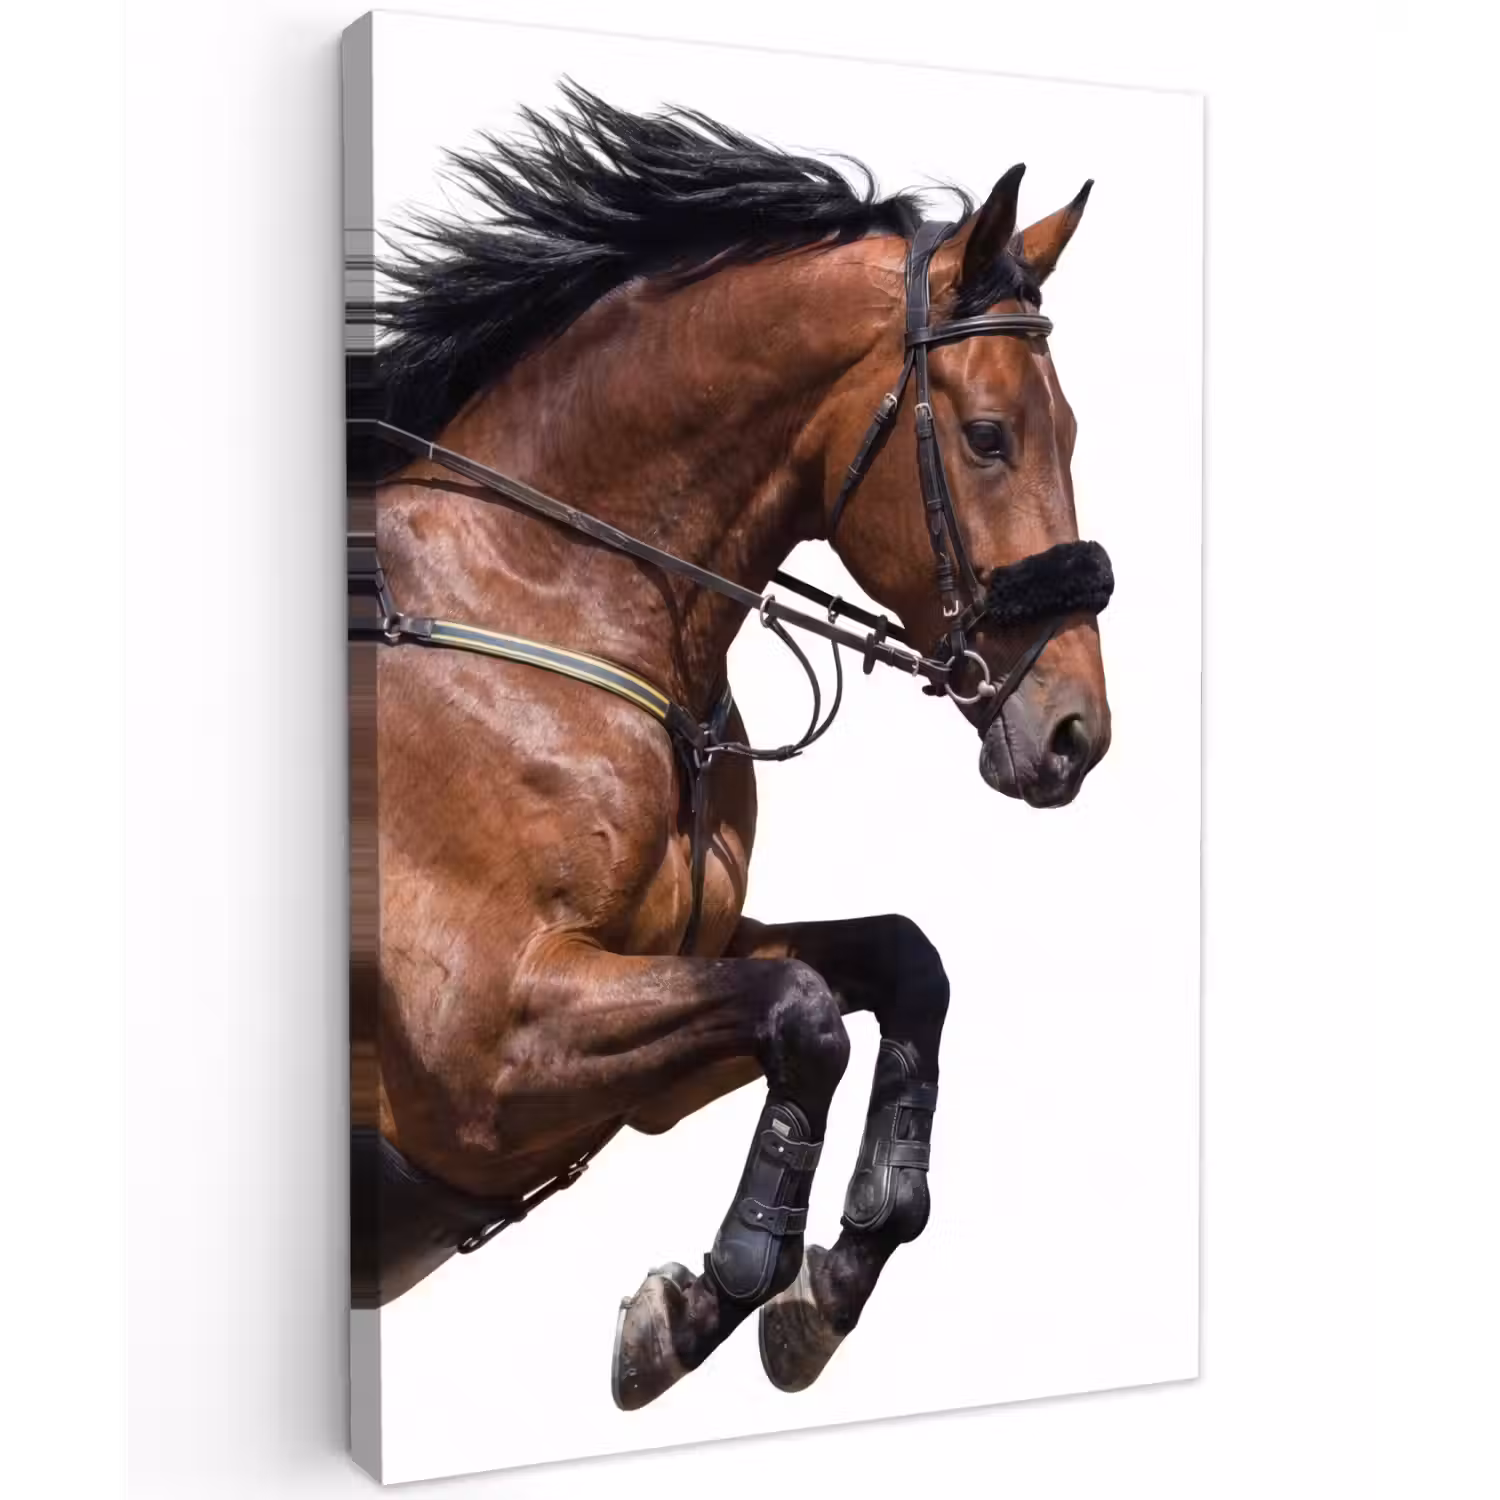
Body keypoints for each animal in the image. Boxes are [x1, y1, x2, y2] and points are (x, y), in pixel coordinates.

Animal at [346, 86, 1113, 1412]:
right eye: (988, 436)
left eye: (1065, 427)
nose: (1076, 732)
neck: (552, 594)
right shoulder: (484, 1052)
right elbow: (805, 1013)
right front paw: (713, 1294)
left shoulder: (659, 1003)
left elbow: (898, 964)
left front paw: (828, 1279)